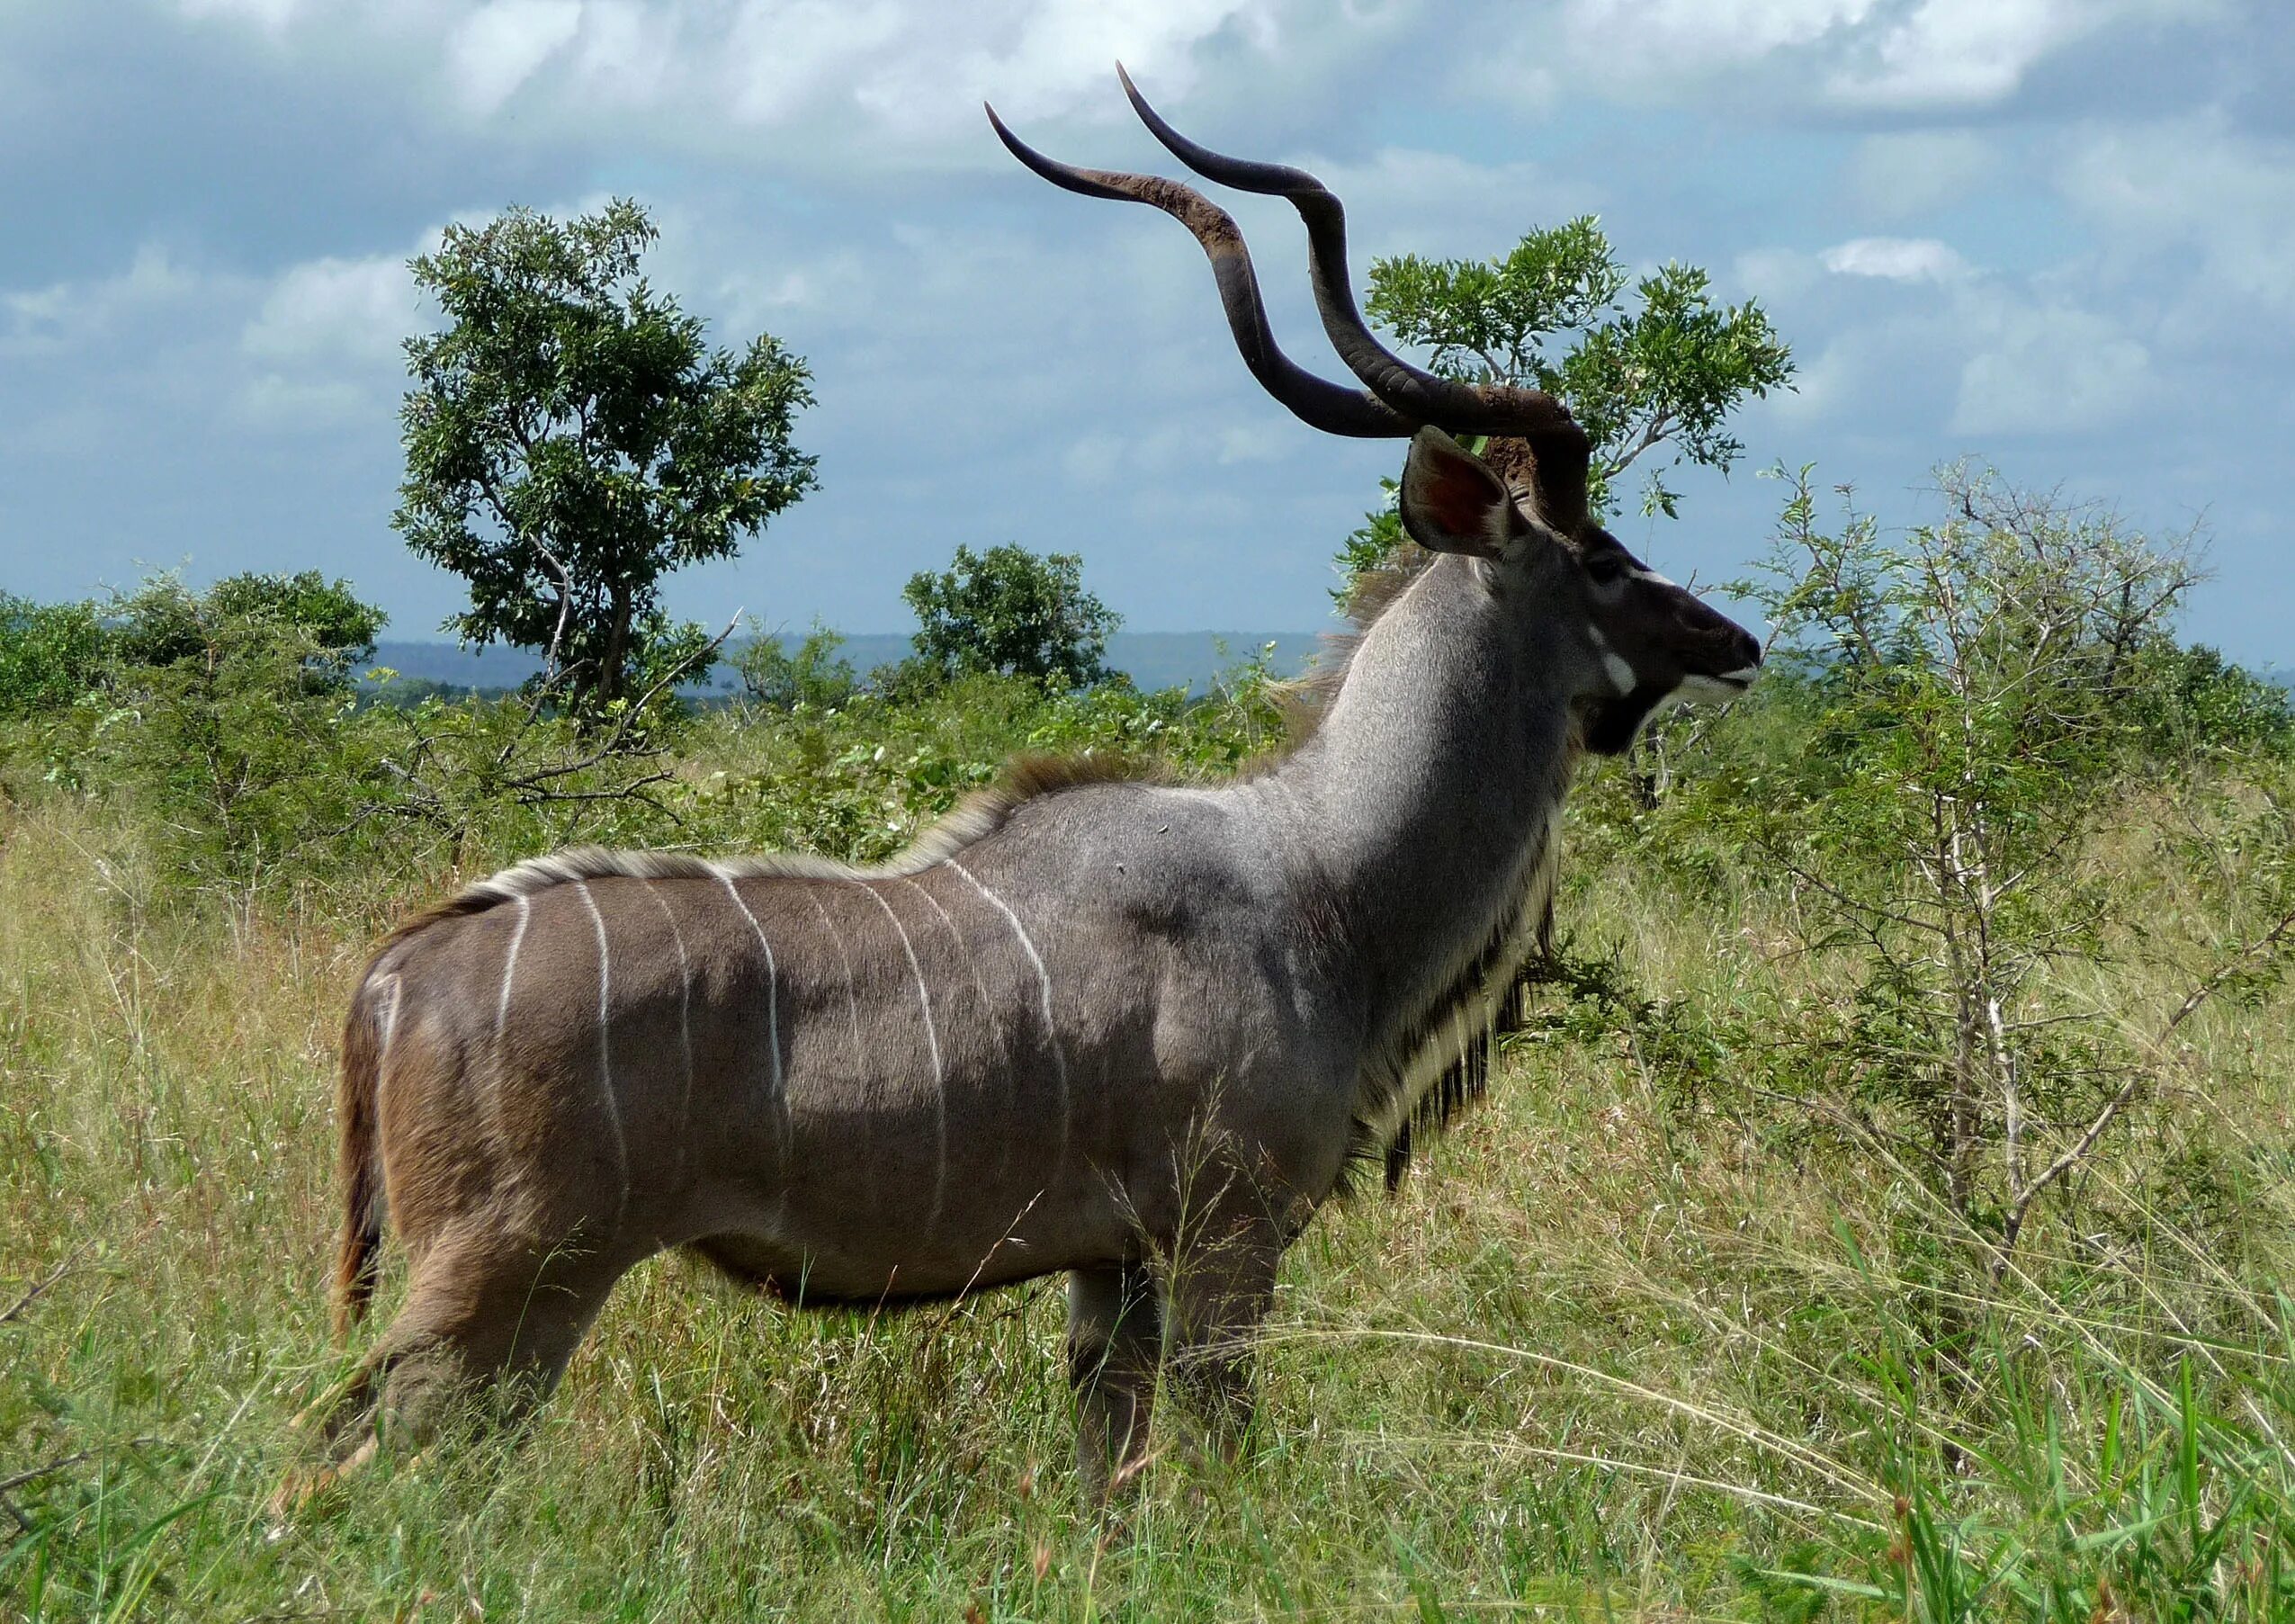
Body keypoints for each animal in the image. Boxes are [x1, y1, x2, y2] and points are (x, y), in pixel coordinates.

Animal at [286, 78, 1753, 1513]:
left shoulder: (1112, 1267)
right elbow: (1219, 1457)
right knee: (344, 1467)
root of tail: (394, 977)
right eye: (1604, 558)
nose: (1734, 642)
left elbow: (1113, 1476)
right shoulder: (1224, 1236)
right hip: (507, 1279)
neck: (1313, 871)